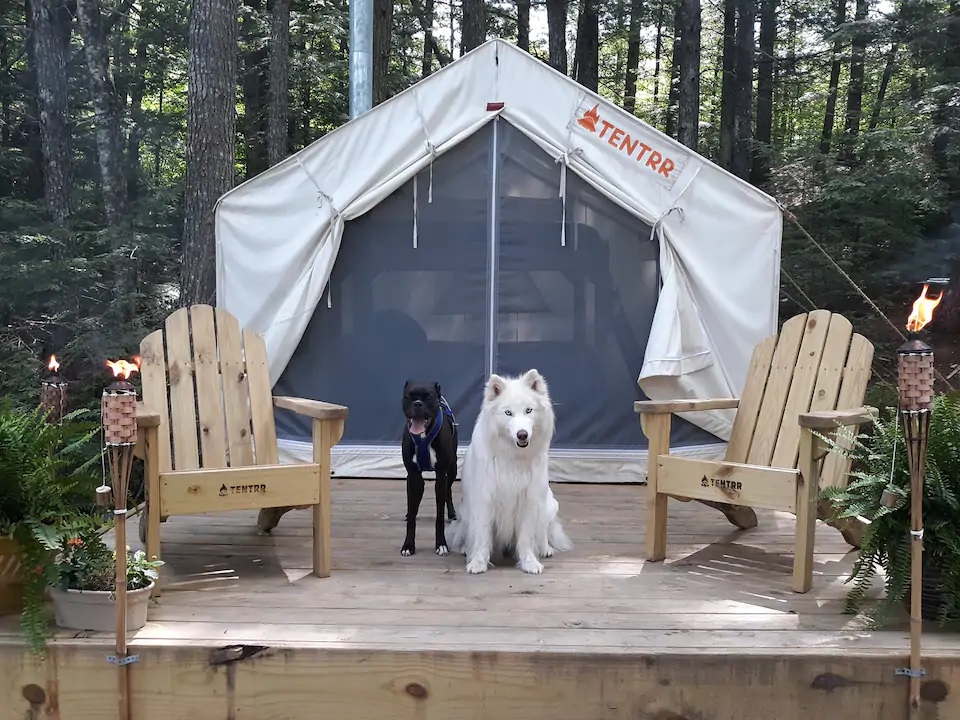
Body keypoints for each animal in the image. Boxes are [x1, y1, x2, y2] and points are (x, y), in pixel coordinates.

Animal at [398, 382, 458, 556]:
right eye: (408, 396)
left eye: (429, 397)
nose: (418, 404)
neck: (423, 436)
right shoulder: (413, 476)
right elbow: (412, 513)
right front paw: (408, 545)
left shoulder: (441, 475)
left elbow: (439, 514)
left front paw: (441, 544)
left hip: (452, 469)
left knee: (449, 489)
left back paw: (451, 512)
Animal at [448, 368, 572, 576]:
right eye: (508, 413)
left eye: (529, 410)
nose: (522, 435)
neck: (513, 457)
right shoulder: (485, 500)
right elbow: (482, 535)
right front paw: (478, 562)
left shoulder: (529, 501)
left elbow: (527, 538)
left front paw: (529, 562)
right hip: (464, 511)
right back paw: (466, 548)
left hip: (547, 505)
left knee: (543, 532)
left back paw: (545, 548)